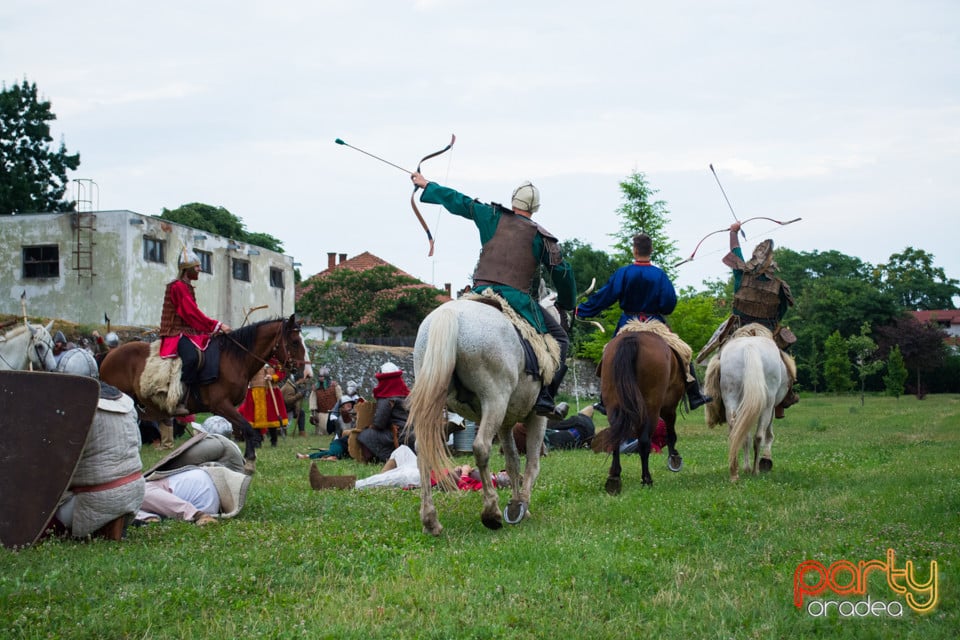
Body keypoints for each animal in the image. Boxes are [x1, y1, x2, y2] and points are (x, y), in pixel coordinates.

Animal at [101, 316, 304, 470]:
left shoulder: (229, 407)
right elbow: (247, 428)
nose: (302, 370)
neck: (233, 358)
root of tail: (108, 357)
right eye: (295, 342)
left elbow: (241, 429)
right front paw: (250, 461)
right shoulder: (221, 405)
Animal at [406, 296, 564, 536]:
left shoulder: (505, 423)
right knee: (481, 447)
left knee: (423, 450)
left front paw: (517, 504)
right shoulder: (537, 418)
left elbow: (512, 461)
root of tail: (451, 313)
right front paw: (522, 506)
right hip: (495, 400)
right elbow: (532, 463)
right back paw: (491, 512)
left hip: (434, 403)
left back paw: (430, 520)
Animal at [604, 330, 688, 496]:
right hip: (651, 407)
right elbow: (670, 432)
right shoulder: (669, 406)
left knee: (616, 436)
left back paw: (614, 478)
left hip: (614, 404)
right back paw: (647, 479)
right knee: (644, 441)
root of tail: (633, 338)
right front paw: (674, 457)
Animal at [700, 324, 792, 480]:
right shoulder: (772, 408)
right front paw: (765, 461)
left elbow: (745, 435)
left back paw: (735, 472)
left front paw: (746, 467)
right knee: (759, 436)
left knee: (737, 431)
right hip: (767, 404)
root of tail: (750, 346)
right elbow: (768, 434)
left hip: (731, 398)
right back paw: (755, 470)